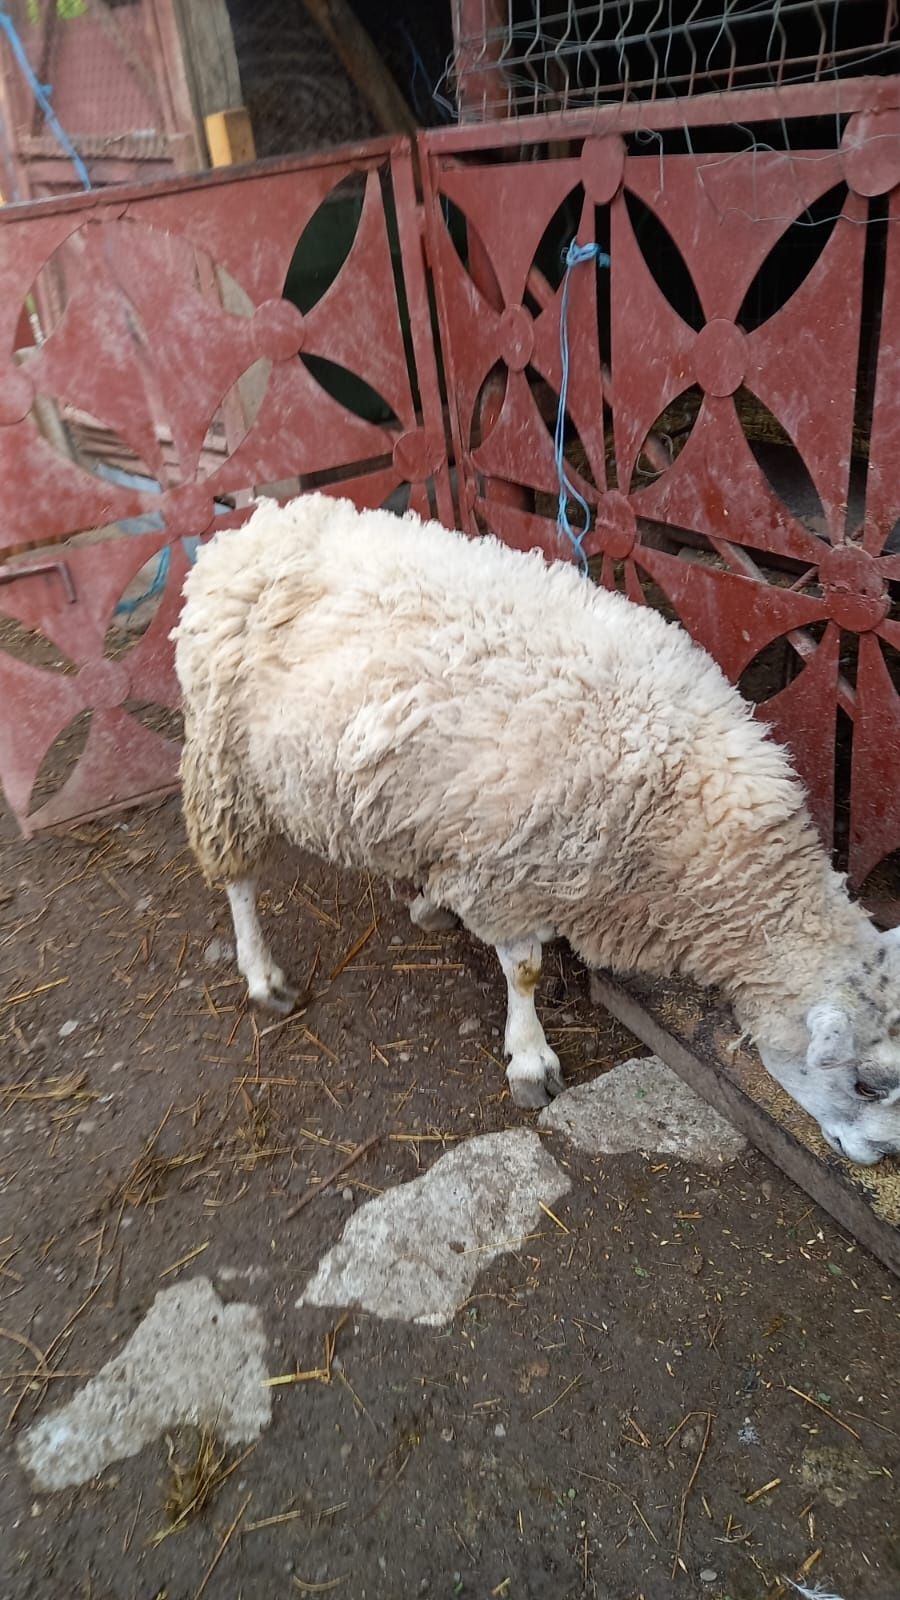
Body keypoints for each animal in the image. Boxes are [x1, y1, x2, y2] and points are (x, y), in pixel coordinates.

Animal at [169, 492, 900, 1171]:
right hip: (222, 763)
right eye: (867, 1084)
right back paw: (263, 974)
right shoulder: (506, 869)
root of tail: (253, 525)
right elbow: (522, 970)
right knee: (238, 880)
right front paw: (530, 1059)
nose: (881, 1157)